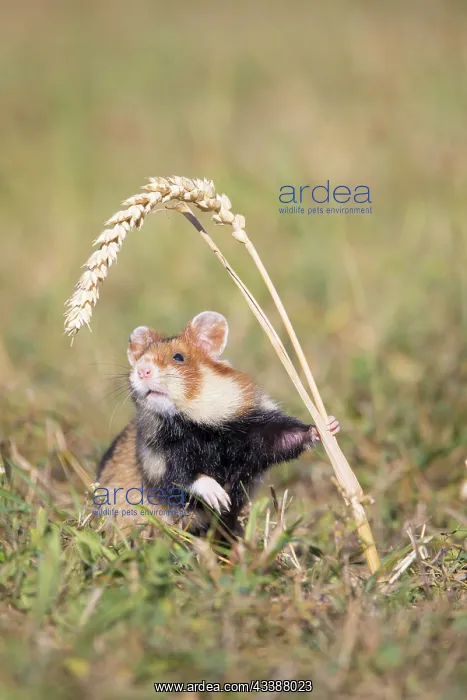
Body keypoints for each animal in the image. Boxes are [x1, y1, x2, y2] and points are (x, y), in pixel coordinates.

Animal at [95, 311, 340, 538]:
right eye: (139, 359)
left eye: (178, 357)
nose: (141, 370)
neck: (195, 424)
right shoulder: (160, 459)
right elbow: (185, 478)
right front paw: (220, 498)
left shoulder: (253, 429)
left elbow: (287, 436)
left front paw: (329, 426)